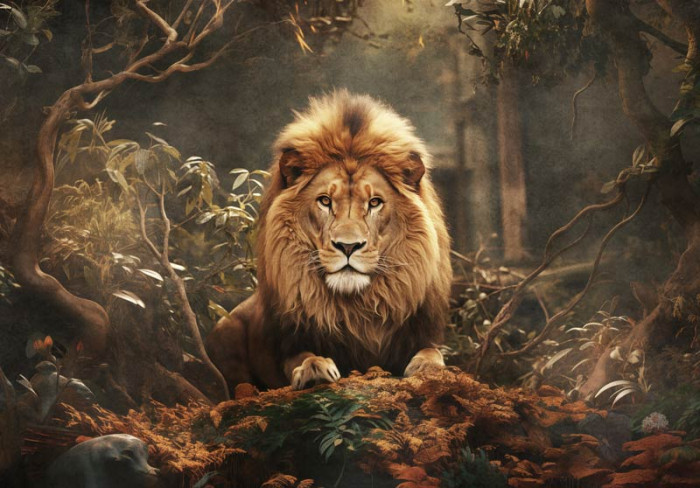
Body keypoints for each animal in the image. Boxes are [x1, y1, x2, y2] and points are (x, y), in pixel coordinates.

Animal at [206, 90, 453, 390]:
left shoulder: (421, 335)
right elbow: (301, 357)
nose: (348, 246)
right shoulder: (290, 344)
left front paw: (428, 367)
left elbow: (432, 352)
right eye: (325, 201)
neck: (355, 309)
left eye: (374, 202)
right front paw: (314, 368)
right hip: (225, 332)